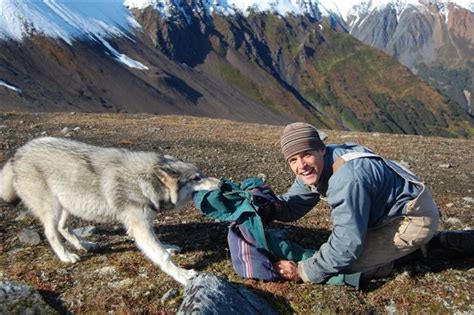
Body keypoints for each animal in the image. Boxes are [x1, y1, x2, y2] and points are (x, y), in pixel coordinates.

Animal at [0, 138, 222, 286]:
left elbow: (159, 246)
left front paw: (168, 247)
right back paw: (66, 256)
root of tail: (17, 155)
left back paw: (85, 245)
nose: (221, 183)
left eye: (202, 174)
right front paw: (182, 275)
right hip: (52, 208)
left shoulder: (145, 224)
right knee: (51, 233)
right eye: (196, 178)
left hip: (69, 205)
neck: (144, 182)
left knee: (64, 228)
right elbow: (161, 256)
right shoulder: (139, 226)